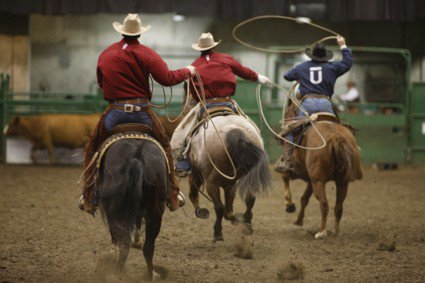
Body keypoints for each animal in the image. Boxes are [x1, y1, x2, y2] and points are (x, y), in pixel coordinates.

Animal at [97, 138, 168, 280]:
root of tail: (137, 156)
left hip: (114, 211)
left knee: (124, 243)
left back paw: (115, 274)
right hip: (155, 213)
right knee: (148, 248)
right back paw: (152, 275)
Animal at [188, 114, 272, 243]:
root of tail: (235, 131)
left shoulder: (198, 172)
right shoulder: (230, 185)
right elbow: (229, 210)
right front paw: (237, 219)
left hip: (211, 183)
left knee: (218, 207)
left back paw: (217, 232)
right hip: (248, 177)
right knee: (250, 199)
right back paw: (246, 224)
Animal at [278, 102, 362, 240]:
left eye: (287, 113)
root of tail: (335, 137)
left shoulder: (296, 171)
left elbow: (285, 176)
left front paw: (289, 204)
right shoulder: (311, 179)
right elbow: (304, 198)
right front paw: (298, 220)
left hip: (318, 181)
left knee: (324, 204)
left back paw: (321, 232)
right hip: (341, 182)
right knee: (338, 207)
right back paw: (335, 230)